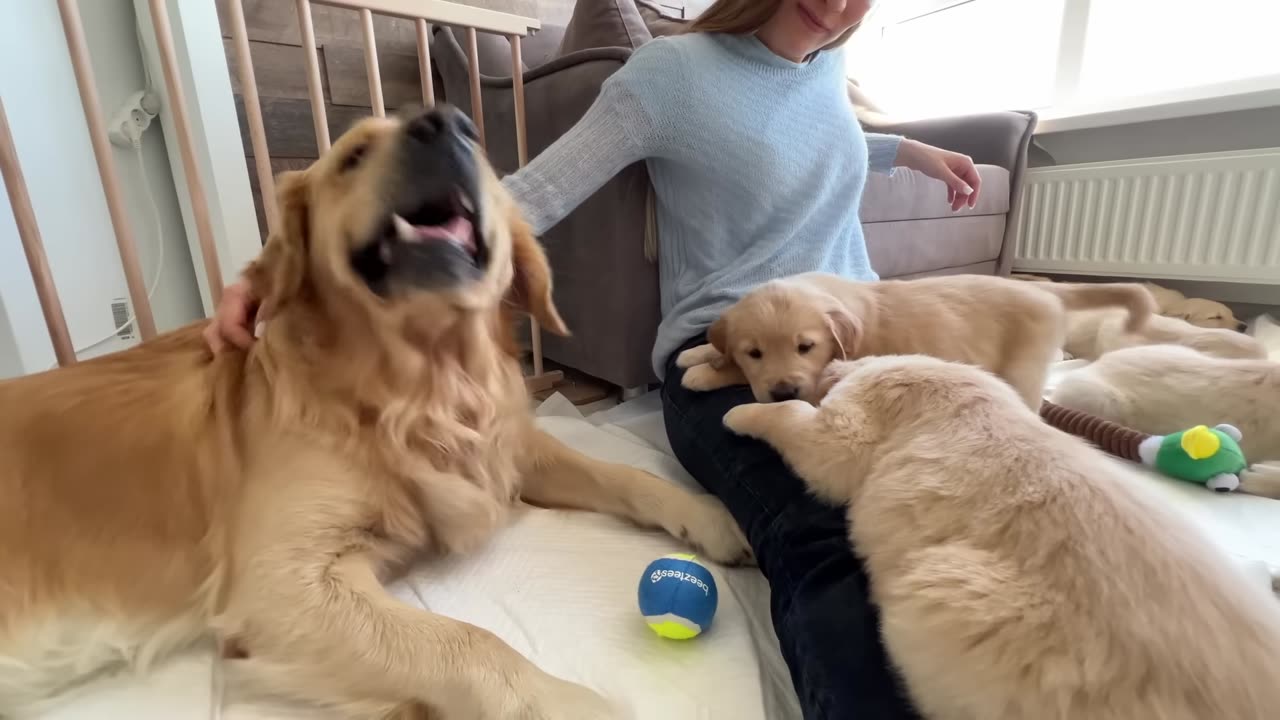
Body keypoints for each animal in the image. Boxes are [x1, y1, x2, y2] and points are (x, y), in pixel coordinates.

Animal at [0, 107, 747, 717]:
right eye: (354, 154)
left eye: (476, 141)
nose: (447, 124)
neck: (422, 389)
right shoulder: (280, 584)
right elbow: (465, 642)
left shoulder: (507, 452)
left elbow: (624, 475)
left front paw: (708, 514)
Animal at [675, 271, 1157, 409]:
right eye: (755, 352)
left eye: (805, 347)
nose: (782, 394)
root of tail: (1048, 290)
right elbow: (722, 345)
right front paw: (698, 352)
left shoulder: (819, 381)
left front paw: (703, 374)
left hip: (1024, 367)